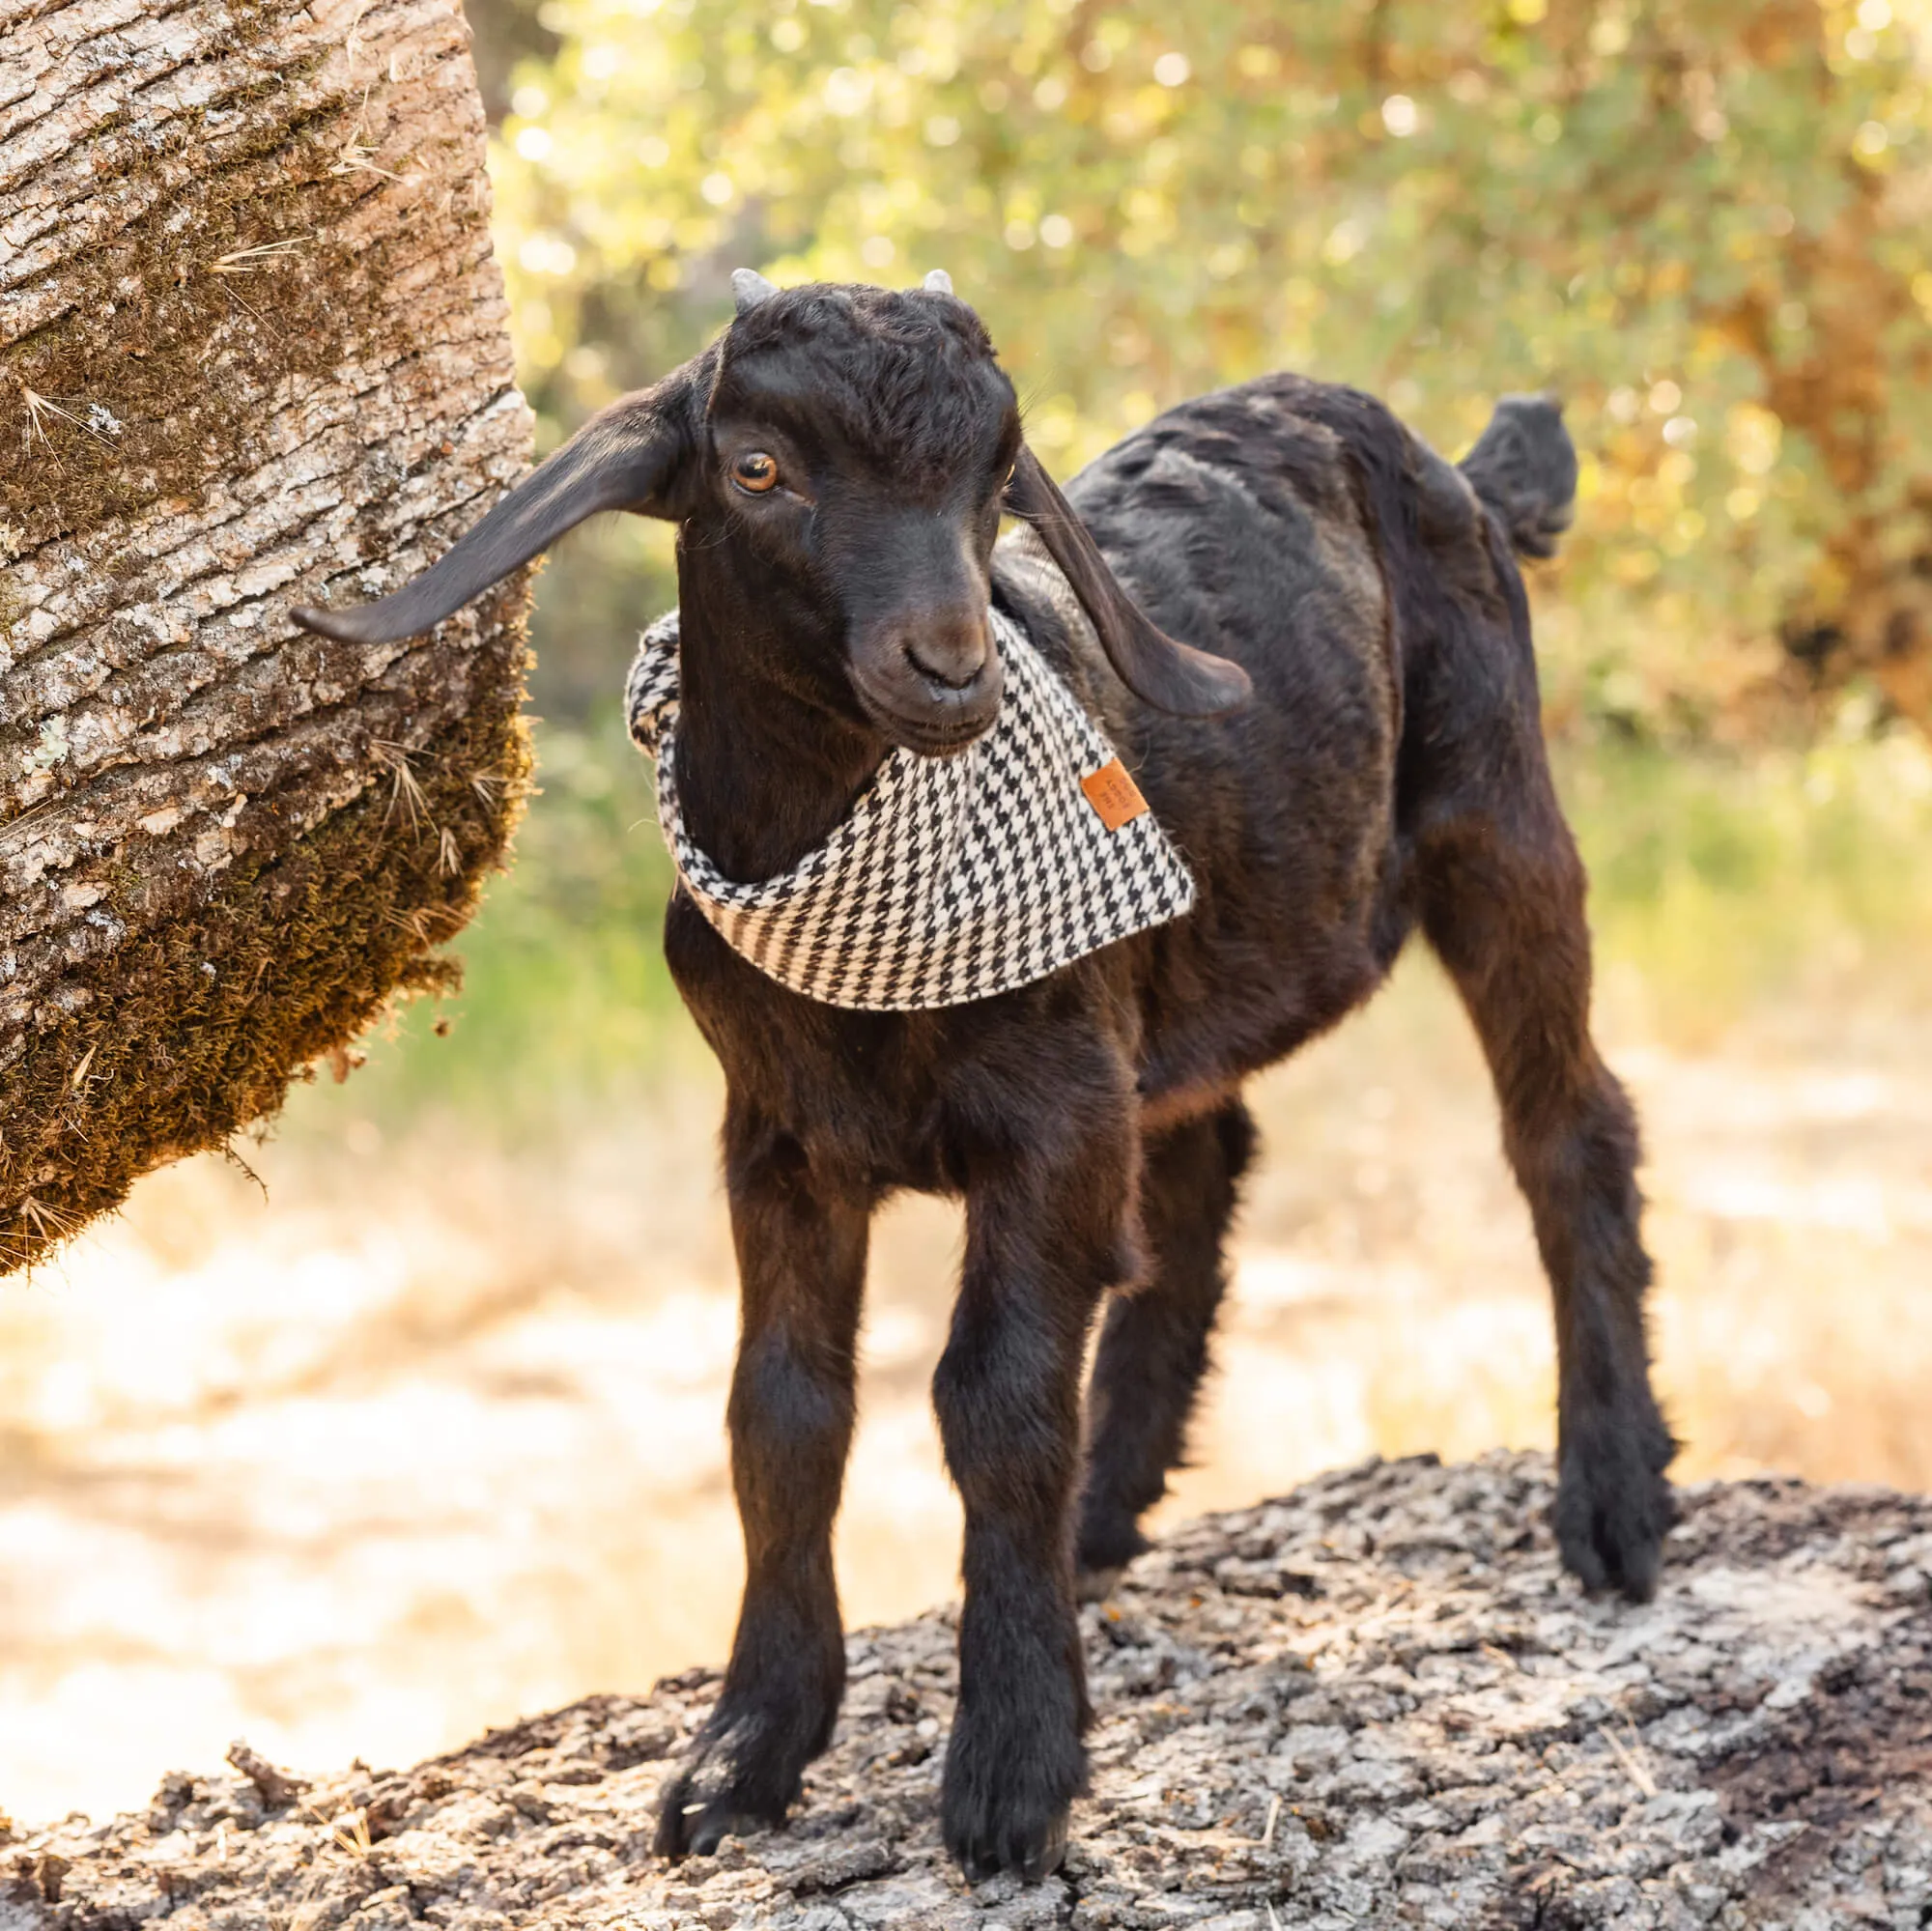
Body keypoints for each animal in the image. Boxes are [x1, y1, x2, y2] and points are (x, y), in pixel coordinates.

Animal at [294, 279, 1669, 1877]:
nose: (954, 664)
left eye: (994, 477)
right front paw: (743, 1752)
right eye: (759, 468)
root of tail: (1449, 462)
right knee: (1202, 1178)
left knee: (1566, 1123)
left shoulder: (1049, 1119)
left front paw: (1013, 1772)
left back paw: (1616, 1498)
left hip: (1493, 803)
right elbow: (781, 1410)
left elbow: (995, 1398)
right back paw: (1106, 1512)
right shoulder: (776, 1136)